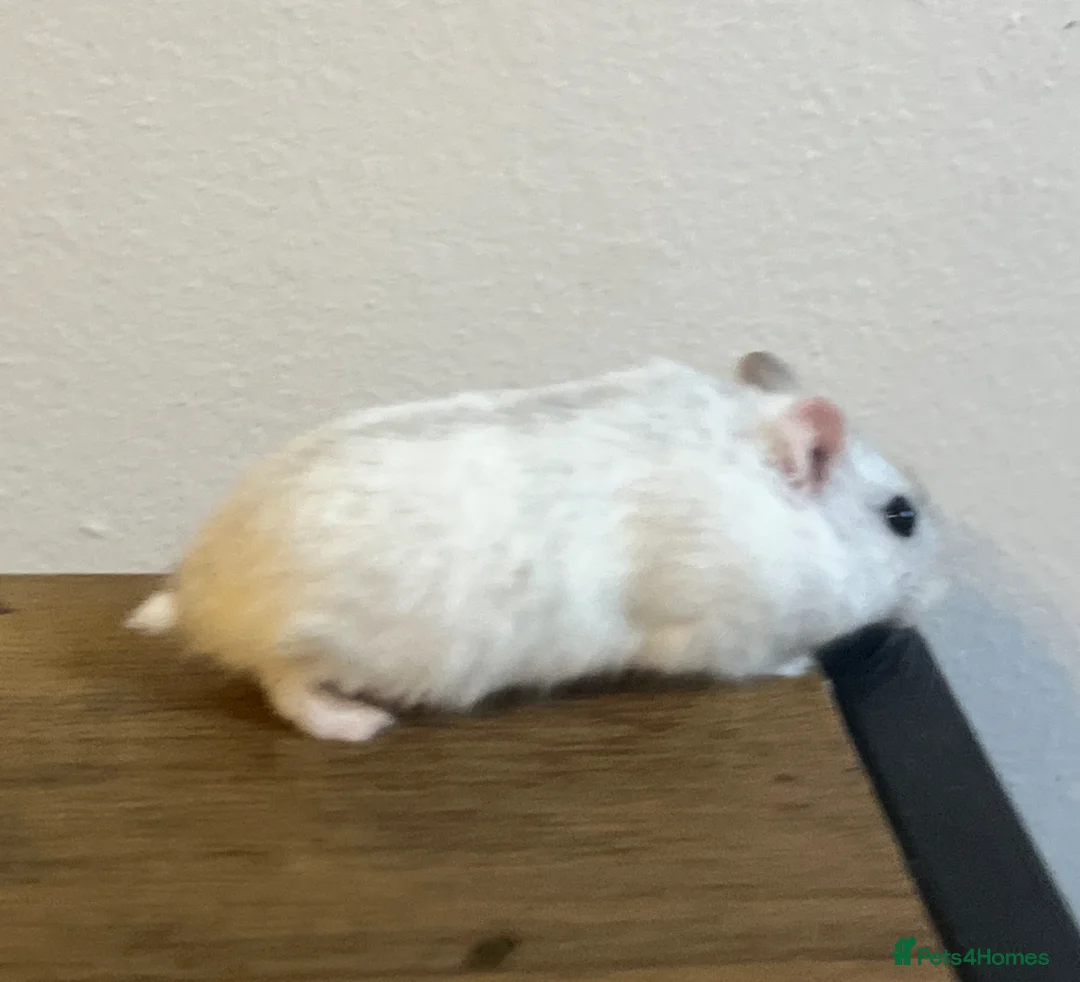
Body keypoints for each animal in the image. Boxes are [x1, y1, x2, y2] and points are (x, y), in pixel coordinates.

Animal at [125, 351, 939, 742]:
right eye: (901, 517)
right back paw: (358, 725)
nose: (942, 596)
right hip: (316, 645)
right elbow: (764, 662)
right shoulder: (725, 631)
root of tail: (201, 599)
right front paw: (806, 667)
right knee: (285, 688)